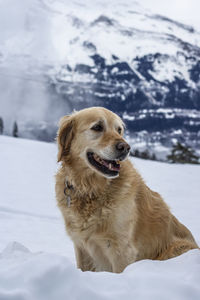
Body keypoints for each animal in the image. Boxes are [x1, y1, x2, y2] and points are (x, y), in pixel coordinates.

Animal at [55, 106, 198, 274]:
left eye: (119, 130)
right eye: (97, 127)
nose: (126, 148)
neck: (92, 189)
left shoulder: (122, 250)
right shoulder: (81, 247)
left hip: (176, 248)